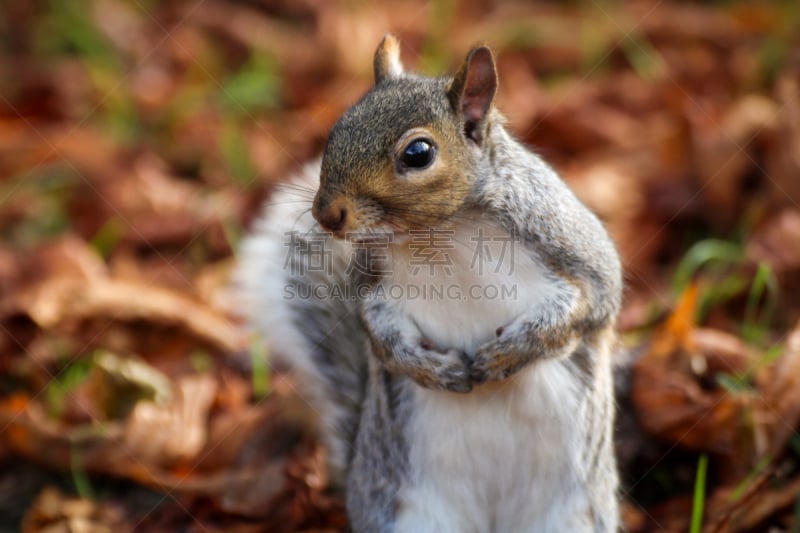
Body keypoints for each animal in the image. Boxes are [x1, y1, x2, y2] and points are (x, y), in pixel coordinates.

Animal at [238, 35, 624, 532]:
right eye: (337, 130)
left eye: (418, 153)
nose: (325, 214)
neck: (439, 236)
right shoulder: (374, 289)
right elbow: (380, 337)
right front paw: (433, 370)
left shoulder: (571, 251)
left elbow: (588, 307)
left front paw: (507, 354)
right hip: (415, 516)